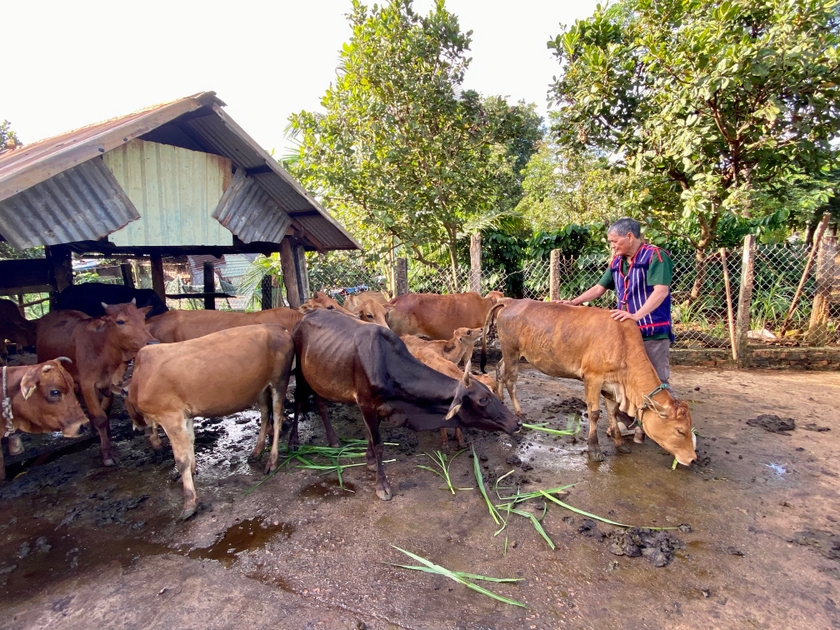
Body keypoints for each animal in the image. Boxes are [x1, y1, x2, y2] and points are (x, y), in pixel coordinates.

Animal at [36, 302, 156, 470]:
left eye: (142, 317)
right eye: (120, 321)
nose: (152, 342)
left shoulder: (112, 382)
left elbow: (105, 411)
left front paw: (109, 437)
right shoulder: (87, 384)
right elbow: (100, 417)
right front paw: (107, 455)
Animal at [124, 324, 296, 520]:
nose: (137, 428)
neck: (140, 380)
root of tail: (277, 327)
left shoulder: (171, 416)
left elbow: (181, 459)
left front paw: (189, 503)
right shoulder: (185, 415)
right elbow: (190, 442)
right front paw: (192, 470)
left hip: (279, 381)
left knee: (278, 418)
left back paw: (271, 461)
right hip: (260, 388)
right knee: (266, 415)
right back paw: (256, 451)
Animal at [292, 308, 520, 502]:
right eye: (483, 399)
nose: (517, 423)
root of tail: (304, 316)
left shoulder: (378, 407)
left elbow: (370, 436)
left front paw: (369, 461)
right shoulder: (365, 403)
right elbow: (378, 443)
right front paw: (382, 486)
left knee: (321, 404)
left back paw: (332, 439)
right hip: (300, 375)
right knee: (298, 402)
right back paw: (293, 442)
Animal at [486, 302, 696, 470]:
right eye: (680, 430)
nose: (692, 459)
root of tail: (510, 302)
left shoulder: (611, 386)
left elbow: (612, 411)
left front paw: (619, 442)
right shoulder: (593, 377)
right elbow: (594, 413)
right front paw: (594, 449)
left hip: (509, 354)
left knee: (499, 370)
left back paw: (501, 400)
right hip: (511, 351)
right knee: (510, 380)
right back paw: (519, 412)